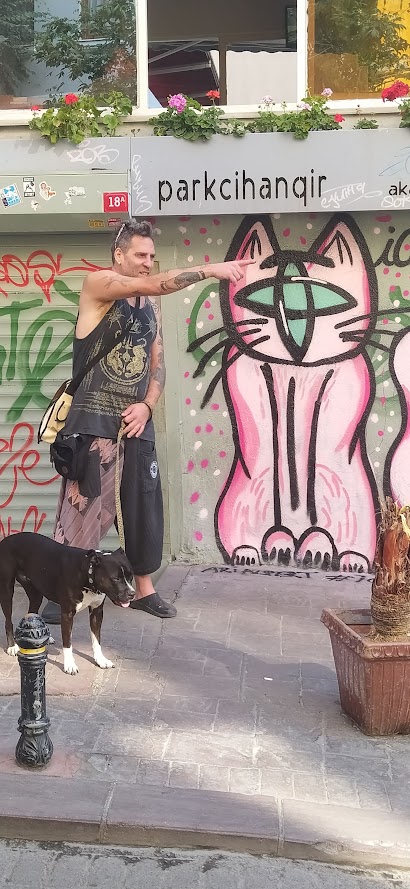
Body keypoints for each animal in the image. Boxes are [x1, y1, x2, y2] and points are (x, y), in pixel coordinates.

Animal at [0, 532, 135, 675]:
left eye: (131, 576)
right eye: (116, 579)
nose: (132, 594)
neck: (87, 574)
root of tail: (6, 539)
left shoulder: (97, 612)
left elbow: (96, 639)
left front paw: (101, 660)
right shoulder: (67, 614)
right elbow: (67, 643)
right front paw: (69, 664)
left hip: (36, 594)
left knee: (32, 612)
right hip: (7, 590)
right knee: (8, 620)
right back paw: (12, 646)